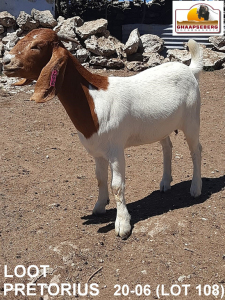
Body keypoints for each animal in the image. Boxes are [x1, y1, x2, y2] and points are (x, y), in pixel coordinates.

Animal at [2, 28, 203, 239]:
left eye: (37, 46)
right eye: (21, 40)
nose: (6, 61)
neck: (93, 100)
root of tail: (189, 70)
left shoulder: (116, 150)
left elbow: (117, 186)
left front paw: (122, 224)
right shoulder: (97, 151)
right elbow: (100, 179)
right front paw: (99, 206)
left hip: (192, 119)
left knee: (196, 150)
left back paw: (195, 188)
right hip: (161, 126)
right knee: (167, 147)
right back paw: (165, 182)